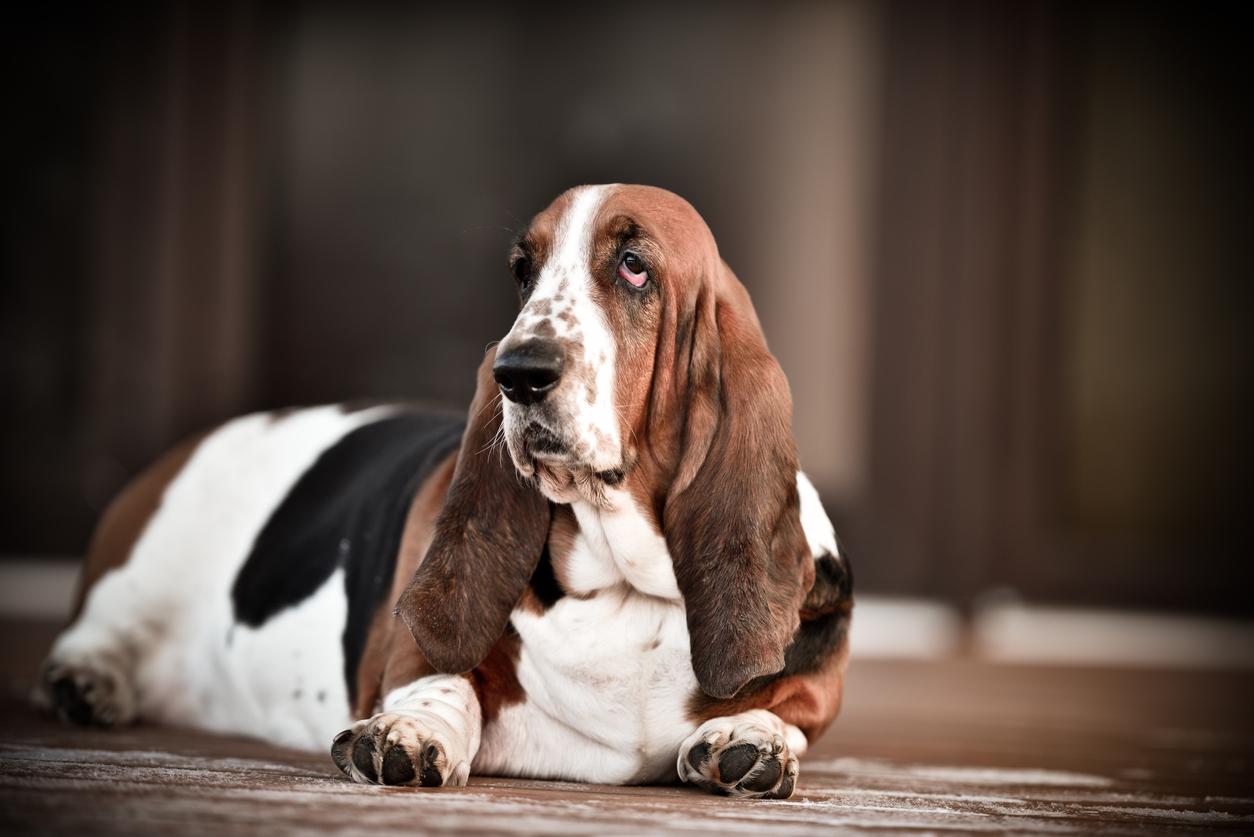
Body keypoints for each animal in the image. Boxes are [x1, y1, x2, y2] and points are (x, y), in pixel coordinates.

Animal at [41, 183, 862, 798]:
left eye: (634, 264)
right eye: (523, 272)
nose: (518, 372)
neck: (625, 582)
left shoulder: (814, 687)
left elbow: (791, 710)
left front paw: (752, 736)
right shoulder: (408, 653)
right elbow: (444, 681)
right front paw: (405, 733)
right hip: (144, 564)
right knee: (100, 628)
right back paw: (86, 681)